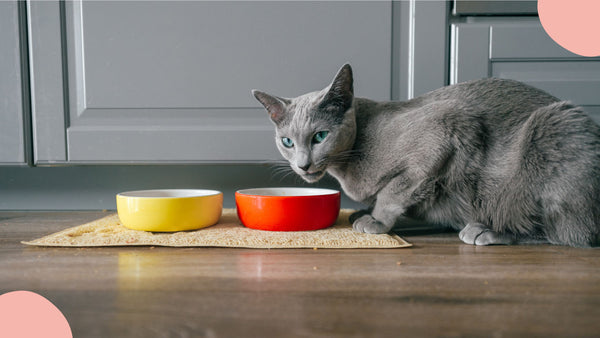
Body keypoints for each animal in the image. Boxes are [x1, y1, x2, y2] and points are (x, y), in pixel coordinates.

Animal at [252, 64, 600, 248]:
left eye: (320, 137)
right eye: (287, 142)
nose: (303, 165)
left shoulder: (444, 129)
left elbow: (394, 190)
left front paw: (375, 220)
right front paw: (364, 212)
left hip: (552, 130)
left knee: (568, 233)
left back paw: (486, 230)